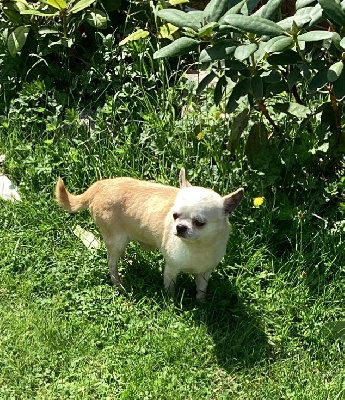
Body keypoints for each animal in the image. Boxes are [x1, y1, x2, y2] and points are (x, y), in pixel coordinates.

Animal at [54, 167, 242, 302]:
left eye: (199, 223)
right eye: (175, 215)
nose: (180, 227)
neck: (197, 247)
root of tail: (102, 185)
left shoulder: (204, 273)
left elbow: (201, 290)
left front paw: (201, 303)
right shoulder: (171, 269)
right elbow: (170, 288)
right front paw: (171, 302)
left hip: (122, 240)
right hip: (116, 239)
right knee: (112, 263)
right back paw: (118, 283)